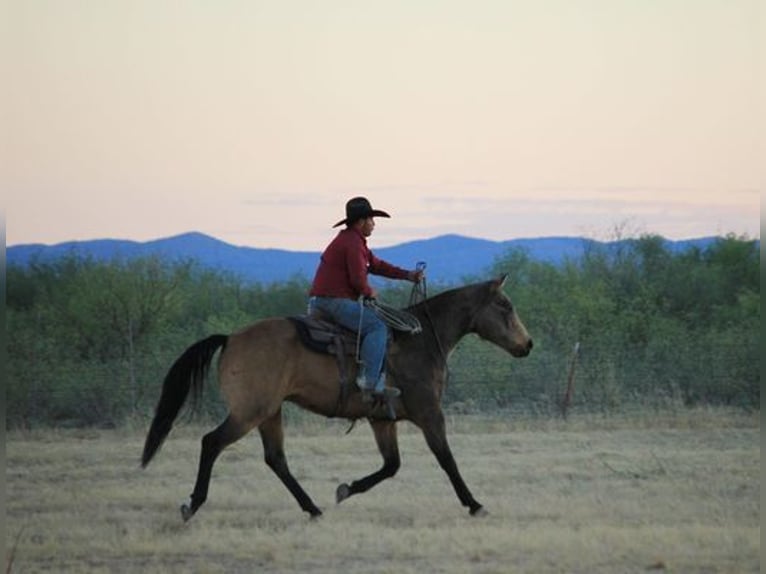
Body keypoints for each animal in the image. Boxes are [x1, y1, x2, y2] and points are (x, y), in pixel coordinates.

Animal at [141, 276, 536, 524]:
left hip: (269, 412)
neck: (420, 341)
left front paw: (346, 489)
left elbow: (391, 466)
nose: (527, 344)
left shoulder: (382, 420)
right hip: (248, 412)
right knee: (212, 443)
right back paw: (193, 504)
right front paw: (475, 504)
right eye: (504, 305)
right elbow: (447, 460)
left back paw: (312, 508)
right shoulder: (429, 414)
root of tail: (231, 338)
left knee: (276, 459)